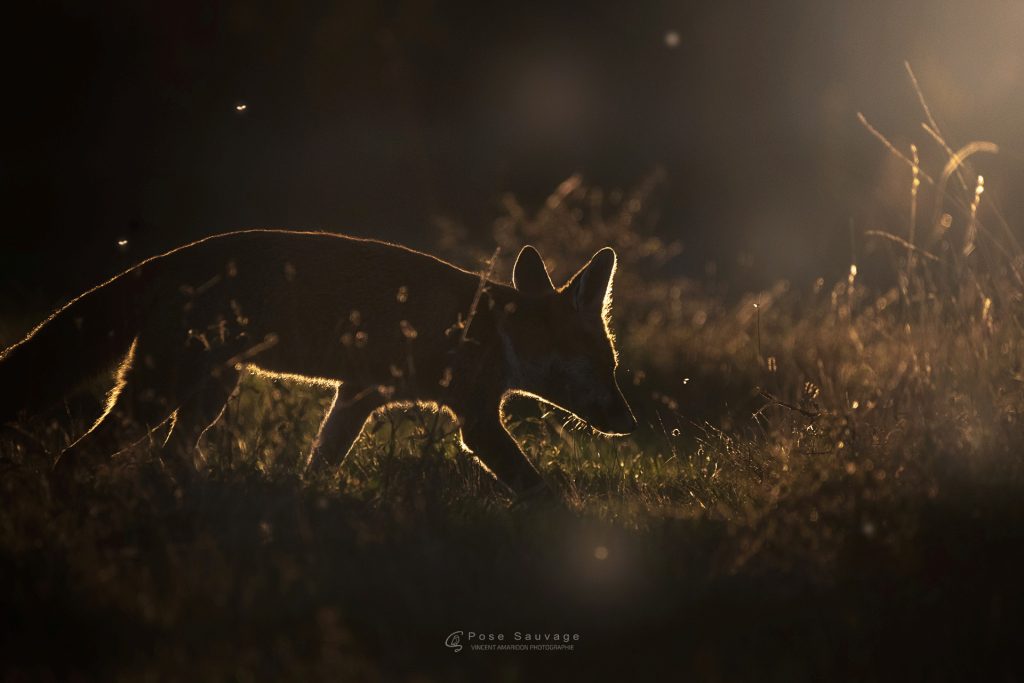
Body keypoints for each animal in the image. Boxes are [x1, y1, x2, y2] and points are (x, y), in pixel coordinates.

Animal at [0, 230, 636, 496]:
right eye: (606, 368)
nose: (632, 423)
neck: (493, 329)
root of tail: (169, 256)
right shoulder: (476, 421)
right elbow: (539, 490)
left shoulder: (357, 396)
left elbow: (319, 463)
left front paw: (302, 504)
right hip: (158, 394)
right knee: (70, 456)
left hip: (206, 397)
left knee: (168, 457)